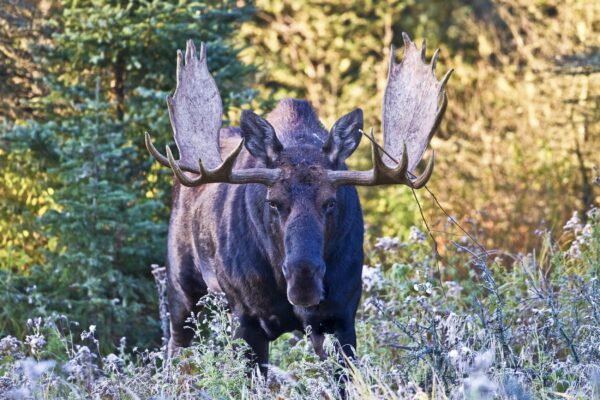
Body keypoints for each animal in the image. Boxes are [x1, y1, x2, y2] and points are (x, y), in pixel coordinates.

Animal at [143, 32, 448, 374]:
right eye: (273, 202)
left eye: (331, 202)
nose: (304, 279)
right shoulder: (246, 319)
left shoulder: (339, 317)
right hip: (182, 288)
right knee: (175, 352)